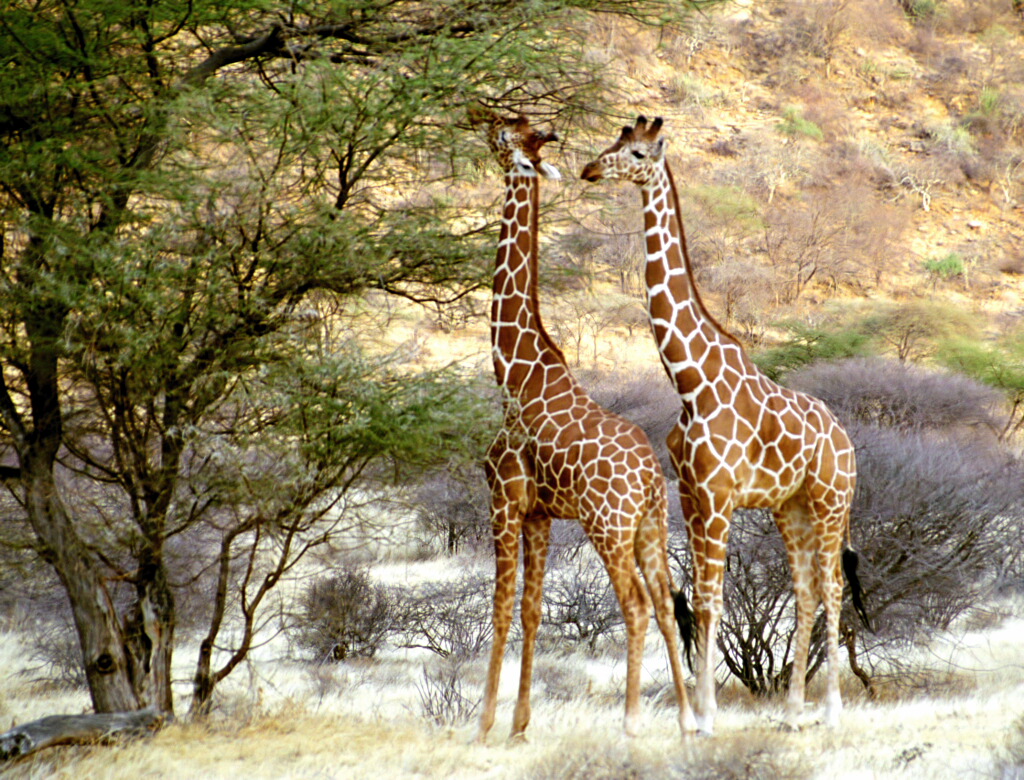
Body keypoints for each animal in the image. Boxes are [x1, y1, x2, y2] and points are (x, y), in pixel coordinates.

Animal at [467, 106, 697, 742]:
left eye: (504, 133)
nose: (474, 114)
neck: (514, 372)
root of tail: (649, 478)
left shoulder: (503, 497)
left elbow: (500, 605)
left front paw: (486, 722)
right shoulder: (541, 512)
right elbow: (531, 609)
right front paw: (520, 723)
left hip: (608, 526)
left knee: (636, 606)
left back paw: (633, 721)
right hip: (650, 527)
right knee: (665, 603)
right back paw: (687, 720)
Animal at [581, 116, 868, 734]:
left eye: (637, 153)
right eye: (614, 141)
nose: (589, 169)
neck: (689, 378)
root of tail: (847, 441)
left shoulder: (717, 498)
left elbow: (712, 599)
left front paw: (708, 715)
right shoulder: (690, 494)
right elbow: (700, 596)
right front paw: (696, 711)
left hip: (832, 501)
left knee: (833, 586)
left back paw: (831, 708)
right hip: (792, 507)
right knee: (806, 590)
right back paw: (792, 711)